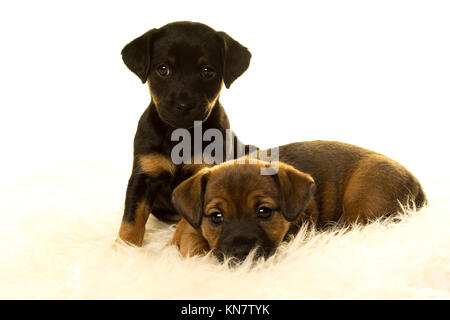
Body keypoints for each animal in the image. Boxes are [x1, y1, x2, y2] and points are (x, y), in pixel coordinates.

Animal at [117, 21, 253, 246]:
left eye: (207, 71)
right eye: (163, 69)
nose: (184, 105)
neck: (179, 134)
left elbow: (186, 221)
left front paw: (174, 245)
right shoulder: (143, 176)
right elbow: (131, 218)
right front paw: (123, 247)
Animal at [168, 141, 426, 262]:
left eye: (264, 211)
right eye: (216, 217)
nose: (242, 253)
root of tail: (415, 183)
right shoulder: (188, 228)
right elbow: (191, 242)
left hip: (363, 199)